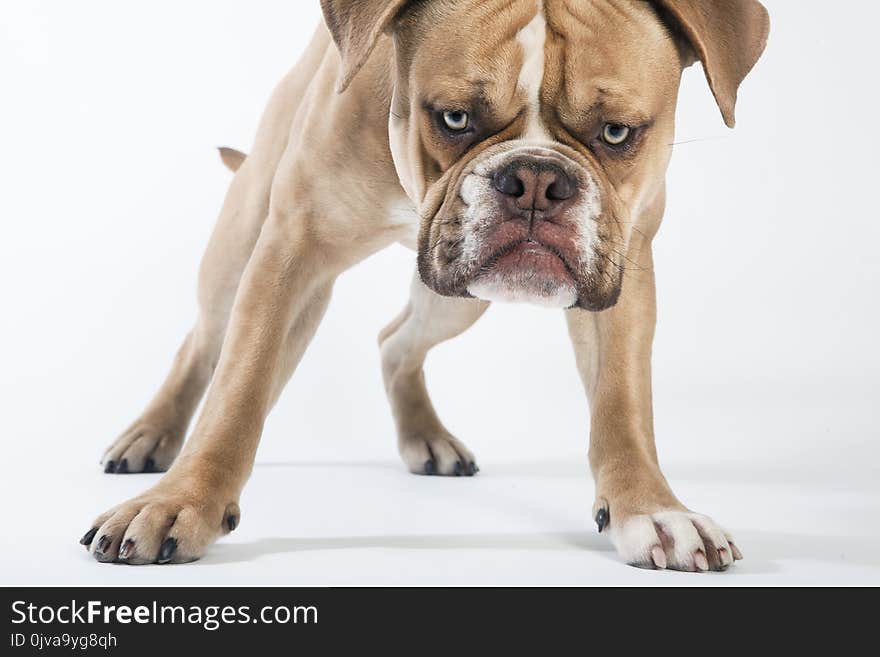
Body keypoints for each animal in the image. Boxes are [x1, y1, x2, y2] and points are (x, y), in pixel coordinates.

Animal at [84, 1, 768, 568]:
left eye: (617, 132)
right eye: (455, 118)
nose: (537, 181)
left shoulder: (623, 271)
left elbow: (623, 403)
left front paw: (651, 510)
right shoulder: (289, 254)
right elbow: (238, 391)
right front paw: (180, 503)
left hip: (458, 300)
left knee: (396, 341)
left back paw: (427, 437)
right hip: (242, 239)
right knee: (205, 341)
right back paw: (150, 435)